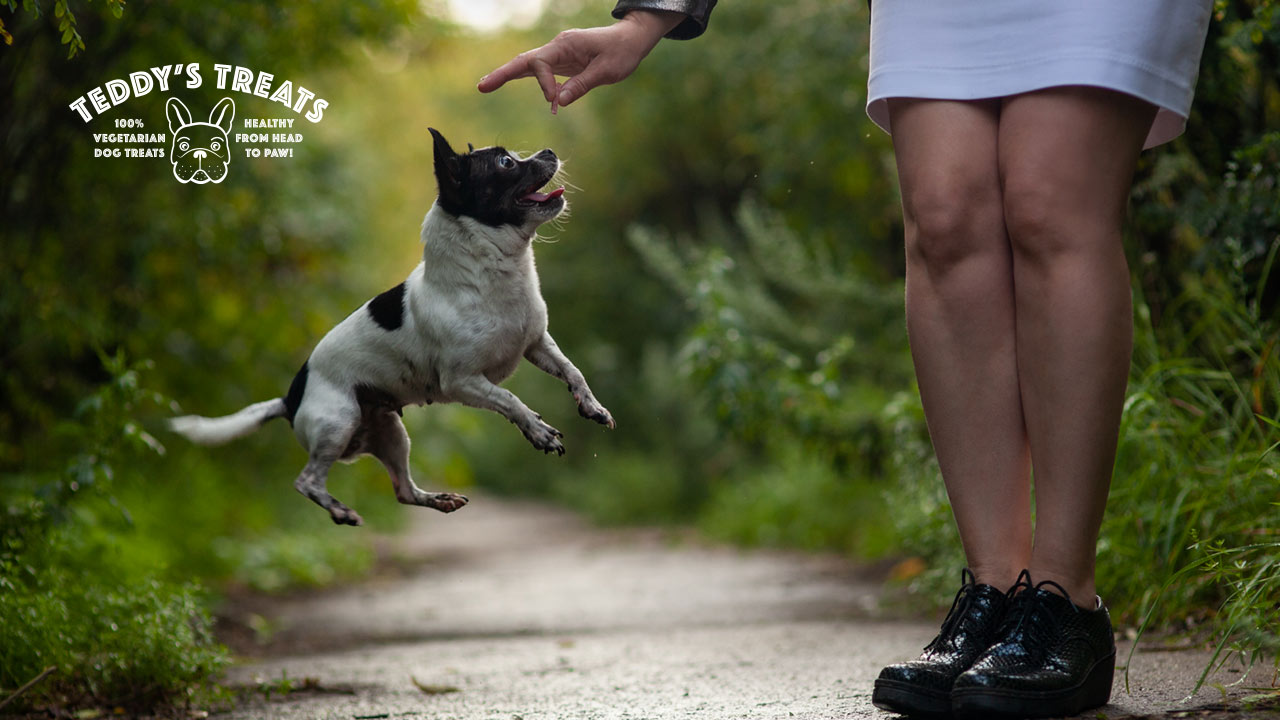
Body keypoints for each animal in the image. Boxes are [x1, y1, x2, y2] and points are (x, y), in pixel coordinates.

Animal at [170, 127, 614, 520]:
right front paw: (538, 431)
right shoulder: (464, 382)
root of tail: (290, 397)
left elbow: (573, 372)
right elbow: (511, 401)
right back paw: (341, 511)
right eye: (506, 163)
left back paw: (438, 500)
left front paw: (592, 406)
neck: (494, 272)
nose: (550, 150)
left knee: (403, 490)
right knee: (307, 481)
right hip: (337, 422)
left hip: (390, 432)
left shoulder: (537, 344)